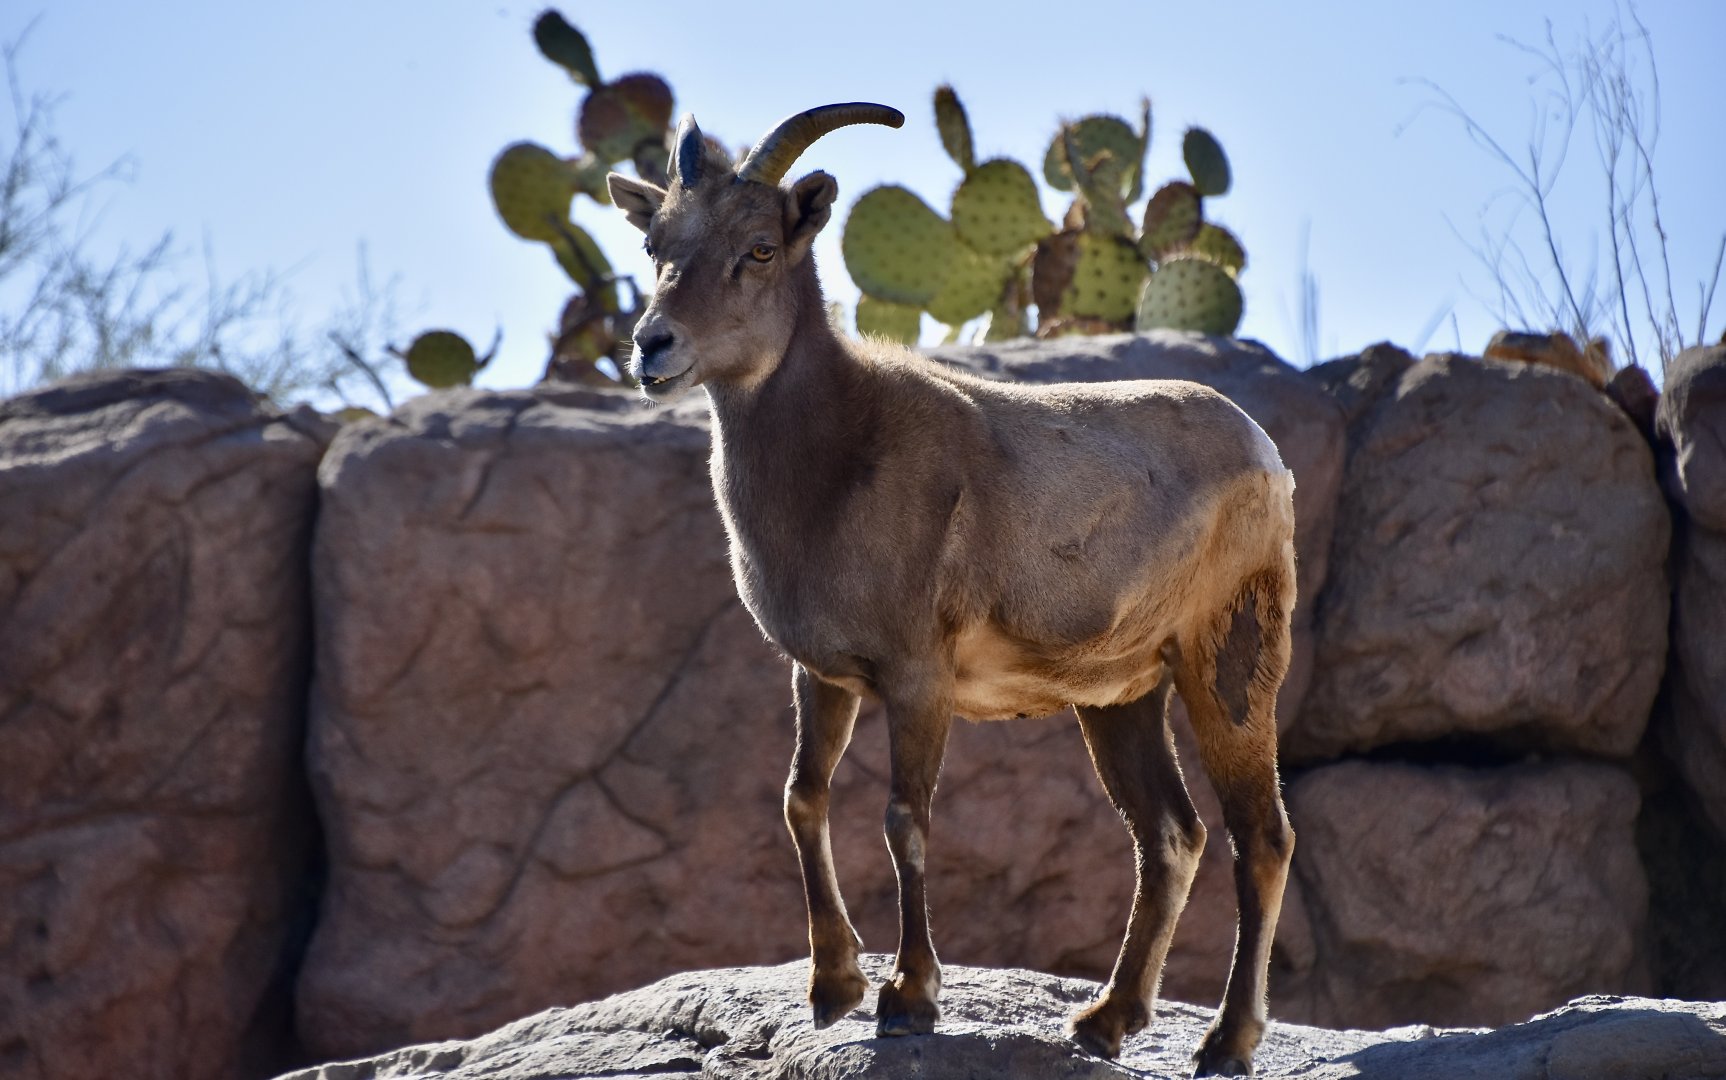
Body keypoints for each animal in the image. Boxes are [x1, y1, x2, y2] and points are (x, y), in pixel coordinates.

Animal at [606, 103, 1297, 1078]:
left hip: (1226, 668)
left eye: (759, 248)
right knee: (1170, 838)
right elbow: (801, 798)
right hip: (1121, 701)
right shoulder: (822, 678)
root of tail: (1266, 458)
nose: (653, 347)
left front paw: (909, 999)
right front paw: (833, 989)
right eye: (656, 243)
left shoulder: (917, 680)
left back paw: (1224, 1044)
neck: (836, 462)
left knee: (1259, 838)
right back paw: (1104, 1022)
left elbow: (906, 820)